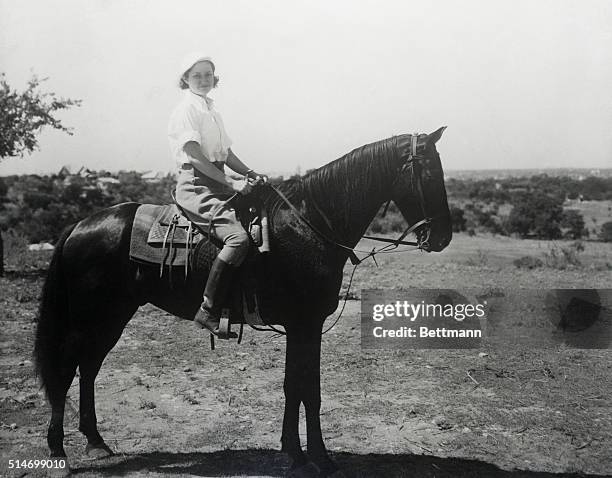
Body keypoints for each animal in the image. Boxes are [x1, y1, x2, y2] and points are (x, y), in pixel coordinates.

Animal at [34, 127, 454, 474]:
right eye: (429, 173)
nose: (443, 237)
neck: (307, 225)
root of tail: (81, 225)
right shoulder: (304, 325)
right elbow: (304, 389)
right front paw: (312, 457)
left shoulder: (305, 328)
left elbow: (300, 386)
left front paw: (298, 451)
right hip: (91, 317)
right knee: (66, 370)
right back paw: (58, 452)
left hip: (112, 316)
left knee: (88, 368)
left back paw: (96, 443)